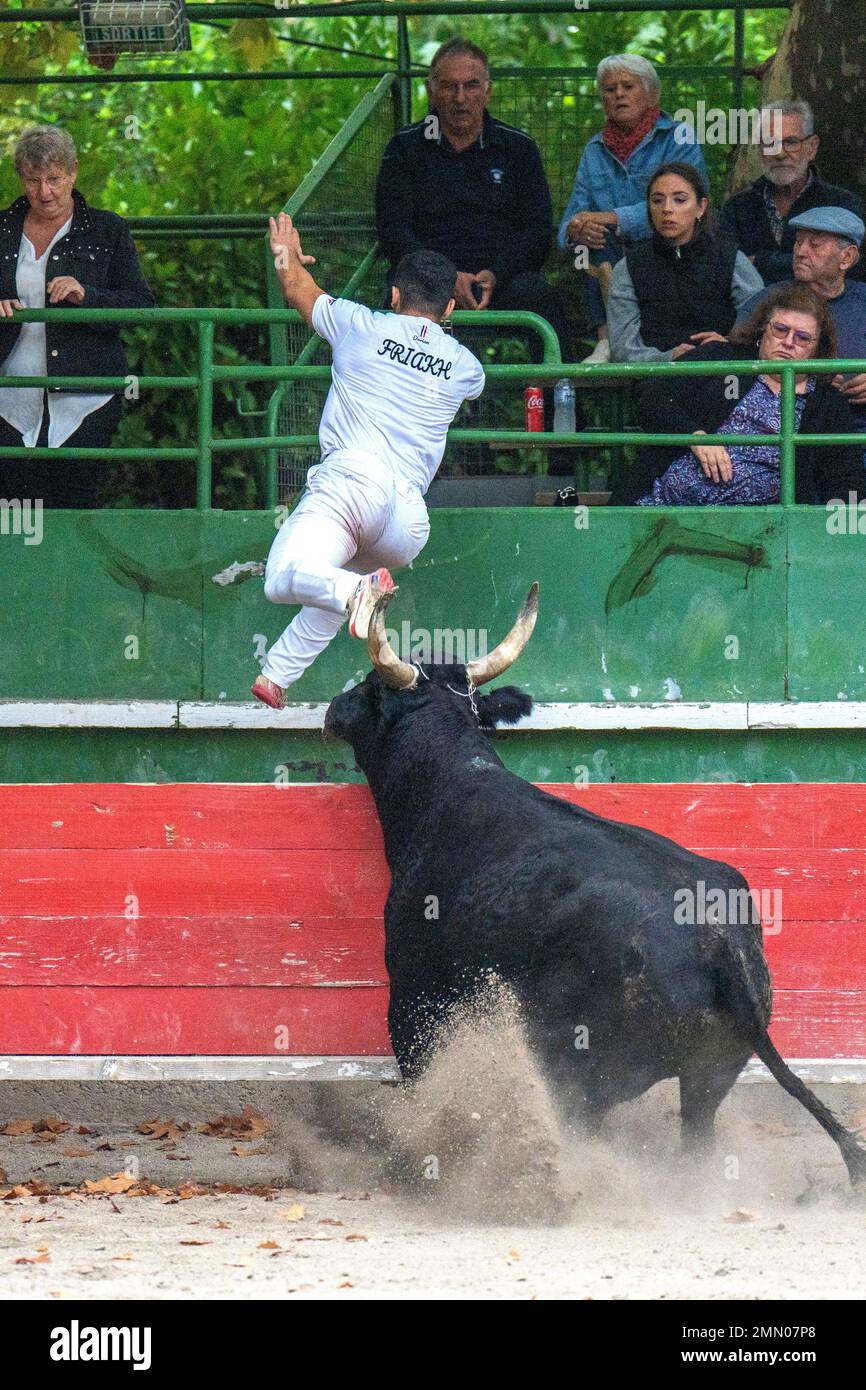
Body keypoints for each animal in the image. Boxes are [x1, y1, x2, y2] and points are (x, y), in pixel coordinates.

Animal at [325, 586, 866, 1184]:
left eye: (369, 685)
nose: (332, 709)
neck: (453, 780)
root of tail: (719, 945)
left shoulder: (414, 1002)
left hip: (583, 1071)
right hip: (710, 1074)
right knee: (694, 1141)